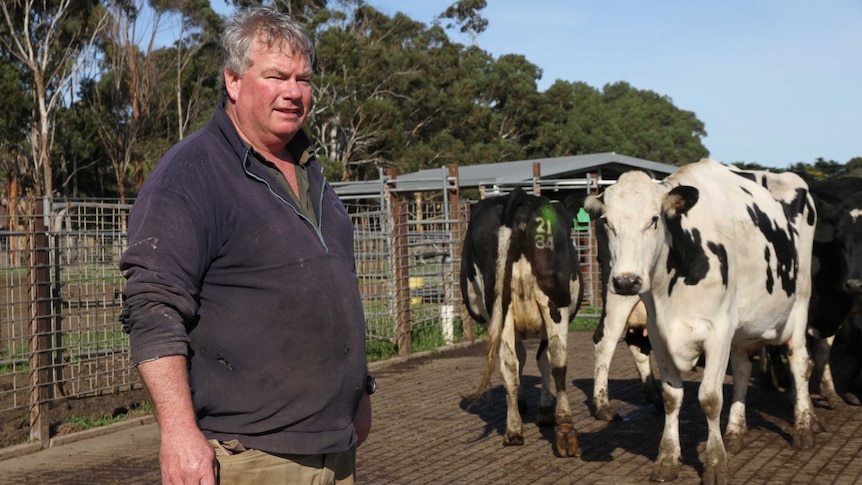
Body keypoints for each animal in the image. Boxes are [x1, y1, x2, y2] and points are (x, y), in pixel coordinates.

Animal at [462, 187, 584, 456]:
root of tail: (521, 201)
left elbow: (525, 360)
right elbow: (540, 361)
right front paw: (543, 409)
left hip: (505, 310)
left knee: (511, 363)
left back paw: (516, 430)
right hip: (554, 304)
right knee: (557, 359)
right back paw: (563, 429)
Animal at [584, 161, 820, 482]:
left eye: (654, 219)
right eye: (607, 221)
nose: (626, 281)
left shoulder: (717, 331)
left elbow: (710, 398)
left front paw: (716, 464)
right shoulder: (659, 333)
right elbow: (672, 397)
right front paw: (668, 459)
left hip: (800, 301)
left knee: (799, 361)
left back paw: (804, 426)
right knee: (743, 369)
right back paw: (735, 431)